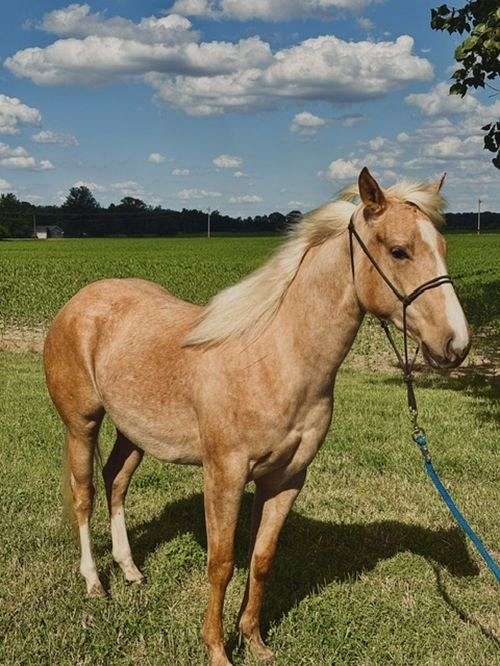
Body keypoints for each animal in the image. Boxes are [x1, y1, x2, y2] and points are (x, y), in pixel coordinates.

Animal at [43, 167, 470, 665]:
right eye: (399, 250)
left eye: (442, 247)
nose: (456, 345)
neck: (276, 357)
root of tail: (80, 302)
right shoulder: (224, 476)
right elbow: (222, 563)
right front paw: (216, 648)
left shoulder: (285, 479)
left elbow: (261, 560)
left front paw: (255, 641)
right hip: (82, 425)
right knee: (85, 495)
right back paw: (94, 583)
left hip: (134, 432)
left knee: (116, 482)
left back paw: (130, 571)